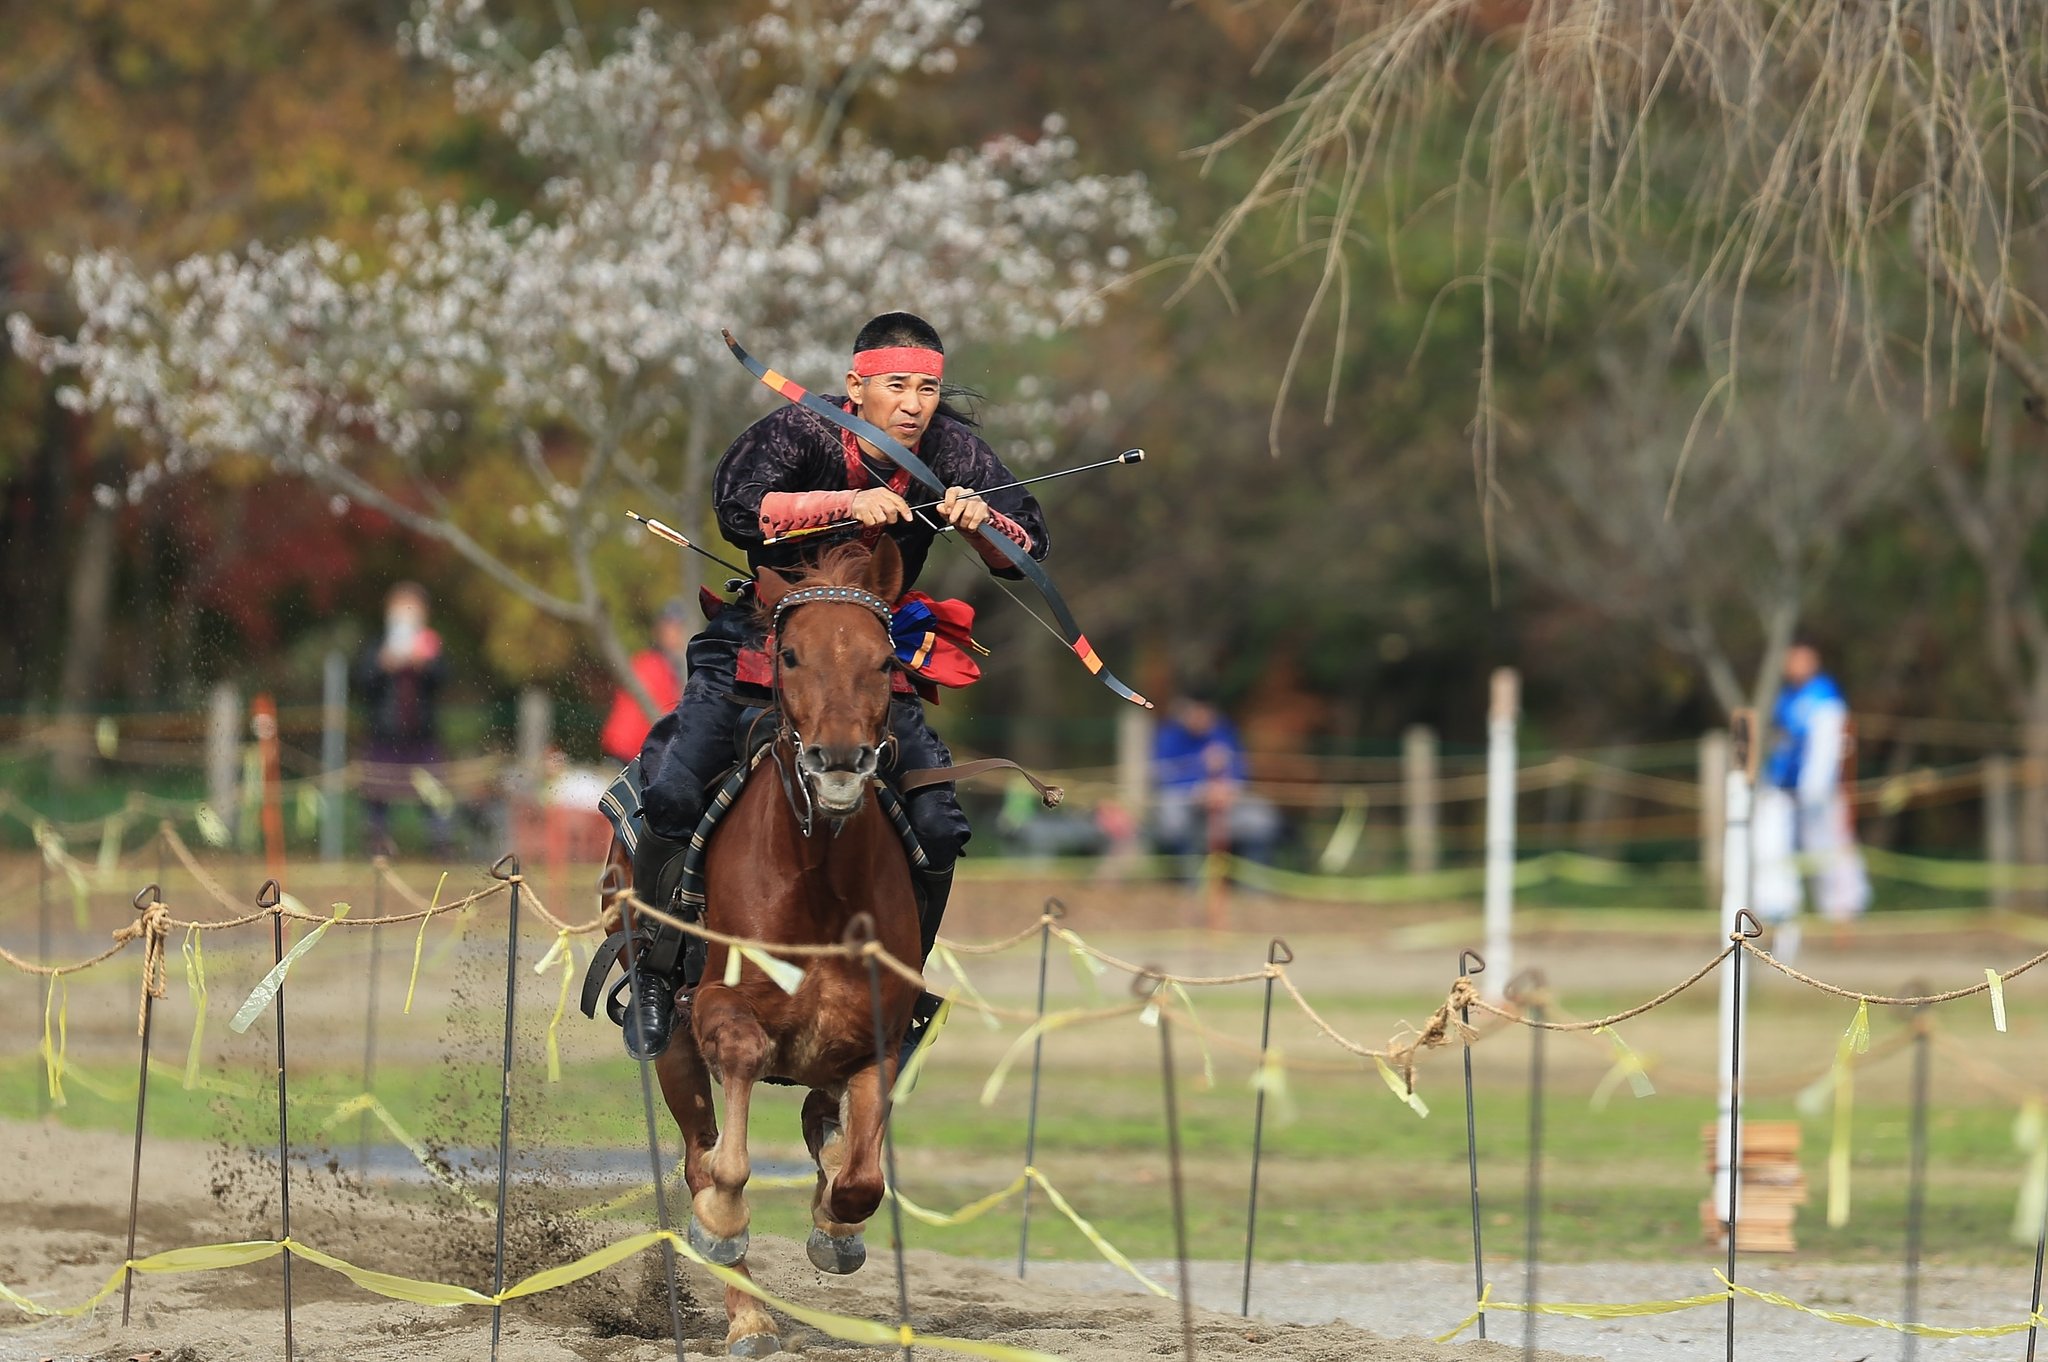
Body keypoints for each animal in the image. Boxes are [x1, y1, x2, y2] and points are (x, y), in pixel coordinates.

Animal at [602, 537, 924, 1357]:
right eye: (790, 655)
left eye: (885, 660)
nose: (839, 760)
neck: (820, 887)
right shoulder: (719, 1009)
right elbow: (729, 1145)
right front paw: (721, 1222)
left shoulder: (876, 1036)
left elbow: (861, 1180)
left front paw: (835, 1227)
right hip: (673, 1048)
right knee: (695, 1154)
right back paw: (746, 1314)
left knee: (819, 1116)